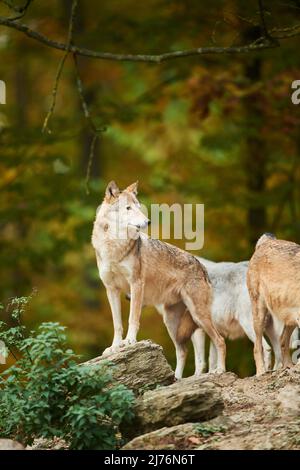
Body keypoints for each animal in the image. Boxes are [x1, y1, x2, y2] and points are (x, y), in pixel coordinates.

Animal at [92, 181, 226, 374]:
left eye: (138, 207)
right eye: (128, 208)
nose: (147, 222)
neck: (114, 246)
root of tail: (203, 267)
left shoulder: (136, 284)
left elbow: (133, 318)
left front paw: (129, 341)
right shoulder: (111, 290)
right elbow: (117, 324)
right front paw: (114, 347)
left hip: (198, 316)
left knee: (220, 340)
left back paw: (220, 370)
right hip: (172, 322)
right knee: (182, 350)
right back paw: (176, 378)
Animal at [247, 233, 300, 376]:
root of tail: (268, 240)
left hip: (290, 318)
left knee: (282, 340)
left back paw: (289, 367)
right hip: (260, 316)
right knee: (257, 347)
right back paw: (261, 372)